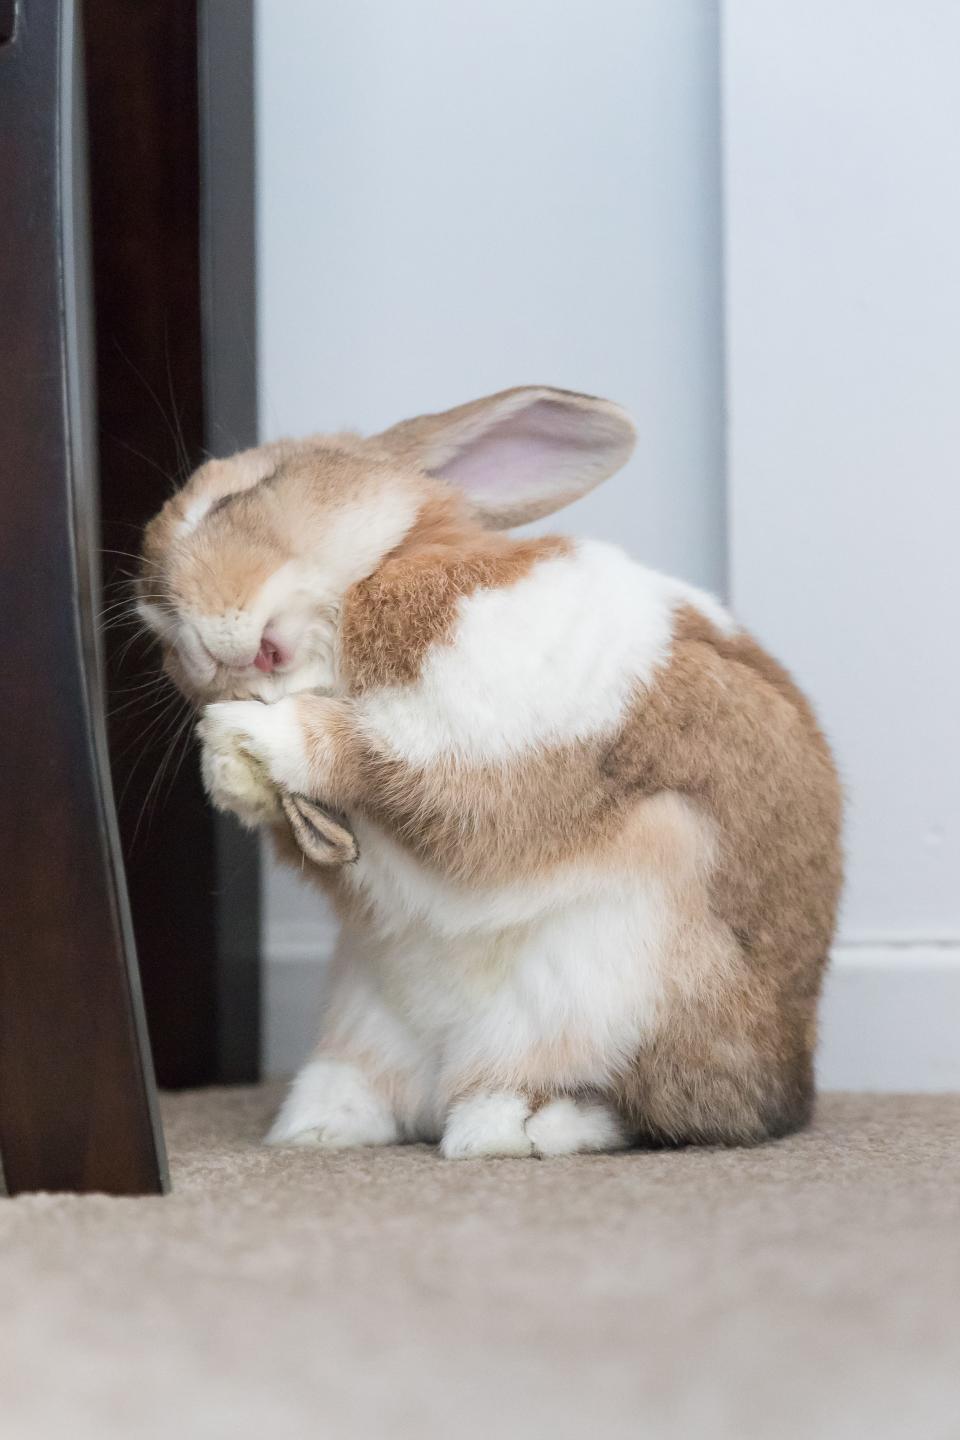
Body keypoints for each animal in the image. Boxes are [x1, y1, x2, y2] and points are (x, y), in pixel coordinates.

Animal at [135, 383, 840, 1157]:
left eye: (242, 495)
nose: (187, 644)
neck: (370, 581)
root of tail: (789, 1081)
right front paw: (227, 764)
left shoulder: (482, 732)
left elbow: (388, 762)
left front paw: (247, 733)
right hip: (369, 1017)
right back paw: (321, 1127)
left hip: (612, 999)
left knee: (640, 1107)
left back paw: (513, 1126)